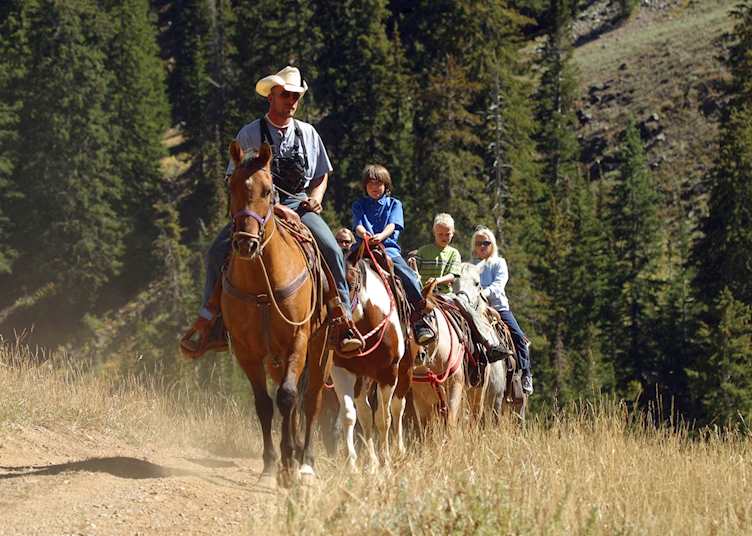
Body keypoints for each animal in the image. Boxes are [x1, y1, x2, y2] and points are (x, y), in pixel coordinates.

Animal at [222, 141, 328, 485]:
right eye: (231, 187)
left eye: (268, 190)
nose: (245, 244)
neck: (261, 285)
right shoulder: (248, 350)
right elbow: (264, 404)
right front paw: (271, 466)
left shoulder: (298, 339)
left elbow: (287, 397)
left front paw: (288, 463)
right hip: (274, 359)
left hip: (321, 351)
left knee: (310, 402)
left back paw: (305, 463)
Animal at [330, 246, 413, 469]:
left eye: (351, 283)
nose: (337, 327)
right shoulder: (341, 370)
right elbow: (350, 415)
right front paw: (353, 463)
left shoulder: (388, 373)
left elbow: (383, 418)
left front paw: (386, 460)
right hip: (363, 378)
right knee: (365, 412)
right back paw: (372, 460)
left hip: (405, 371)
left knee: (397, 408)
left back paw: (399, 451)